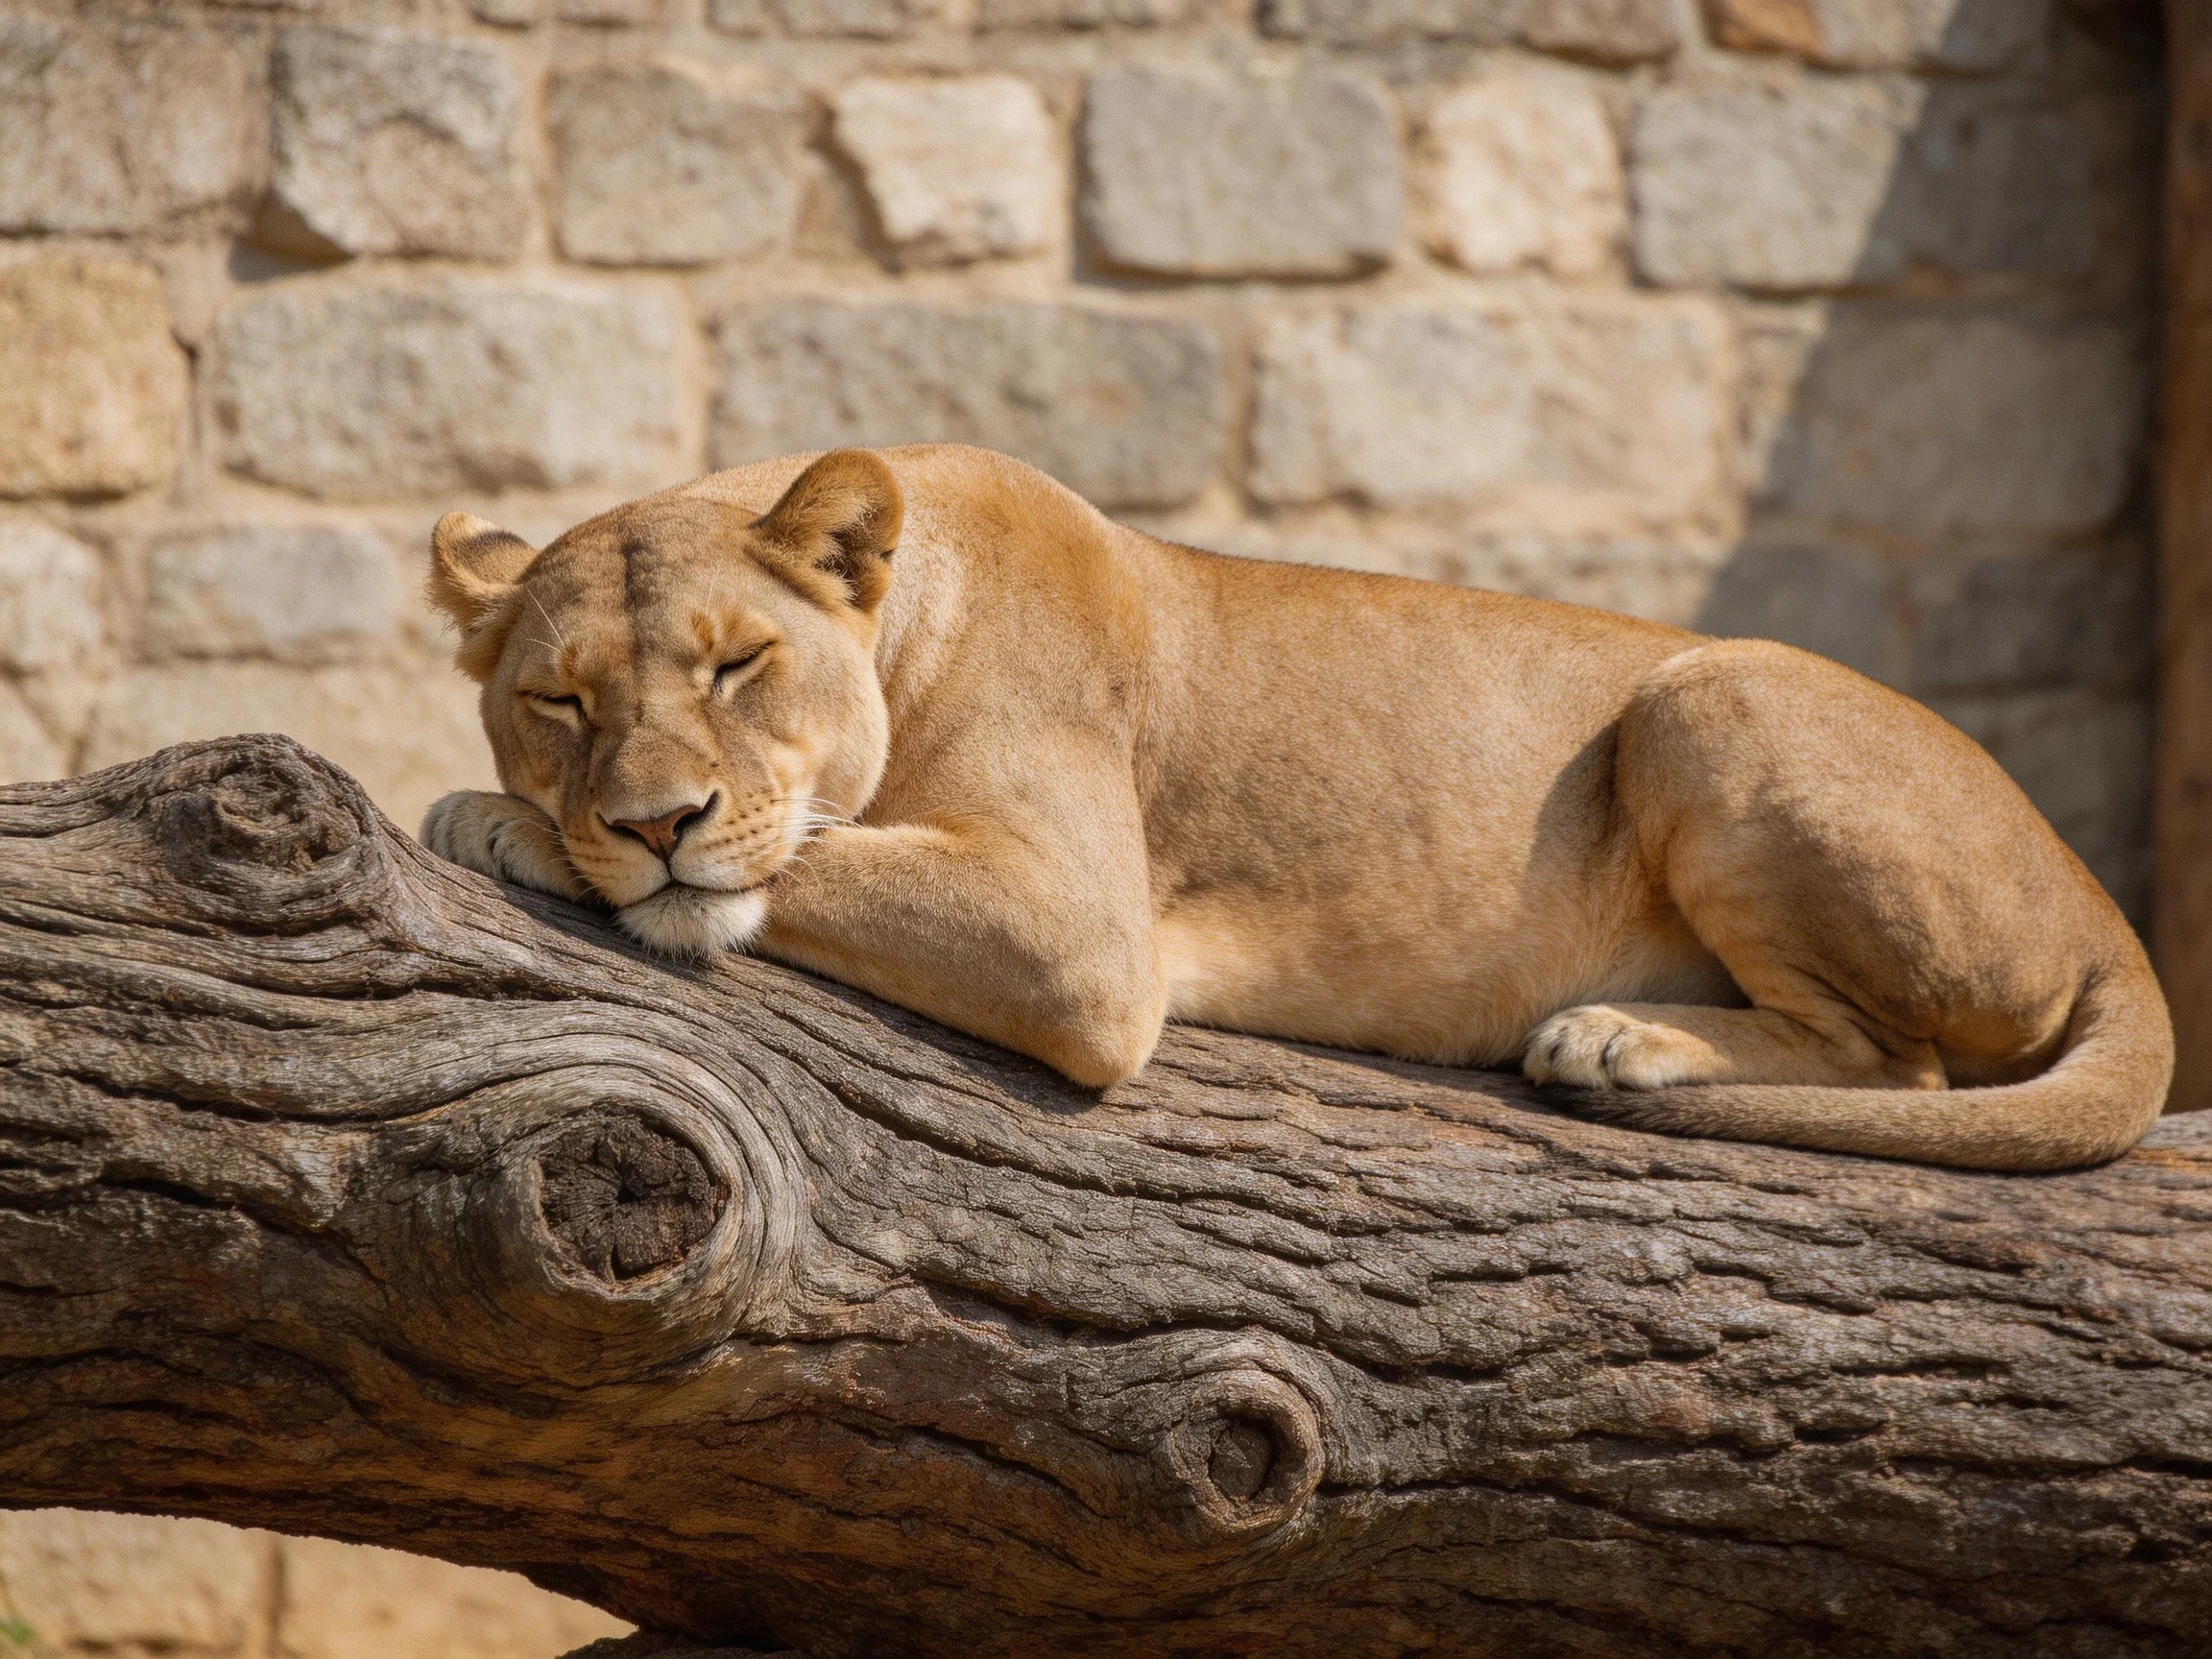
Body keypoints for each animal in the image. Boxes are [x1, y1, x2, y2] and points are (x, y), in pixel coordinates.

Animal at [421, 444, 2172, 1171]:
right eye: (558, 701)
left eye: (738, 663)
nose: (654, 818)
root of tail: (2108, 914)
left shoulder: (1078, 938)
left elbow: (801, 863)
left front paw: (498, 829)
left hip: (1706, 694)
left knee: (1906, 1067)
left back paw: (1618, 1039)